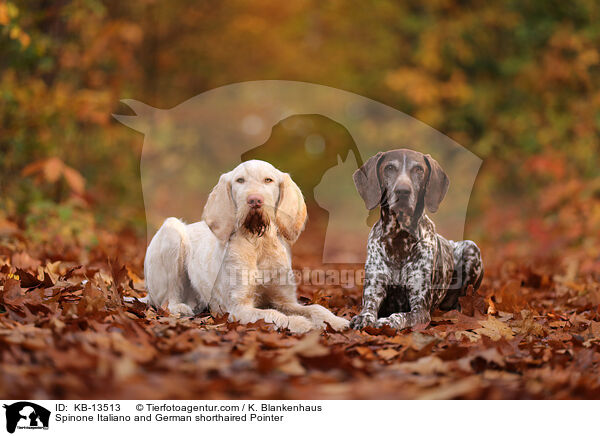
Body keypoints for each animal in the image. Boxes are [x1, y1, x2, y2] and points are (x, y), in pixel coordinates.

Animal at [144, 160, 350, 334]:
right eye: (240, 180)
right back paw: (179, 307)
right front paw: (299, 323)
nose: (254, 200)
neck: (259, 243)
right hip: (171, 230)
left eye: (268, 180)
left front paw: (336, 321)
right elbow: (273, 314)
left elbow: (316, 308)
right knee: (167, 299)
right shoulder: (239, 308)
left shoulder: (284, 299)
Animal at [352, 150, 482, 330]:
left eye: (418, 169)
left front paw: (387, 321)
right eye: (389, 168)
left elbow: (400, 316)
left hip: (471, 247)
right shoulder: (373, 291)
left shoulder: (420, 308)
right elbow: (368, 309)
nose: (403, 191)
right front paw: (363, 318)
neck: (399, 238)